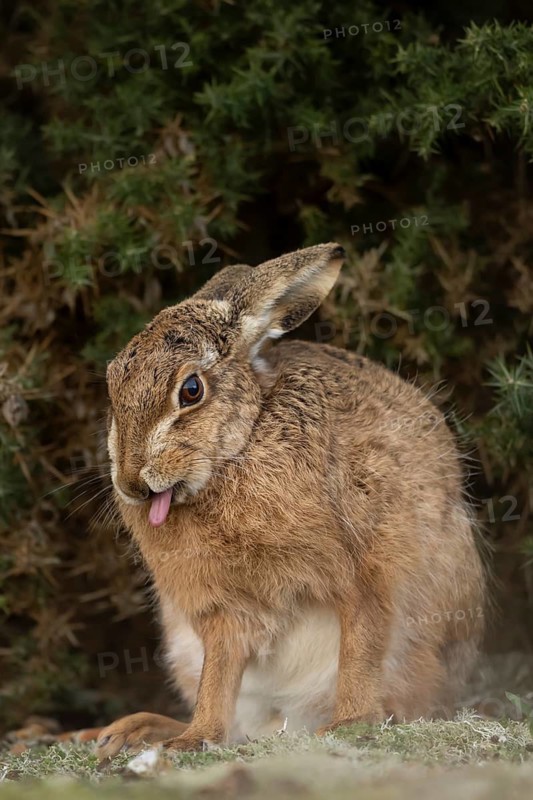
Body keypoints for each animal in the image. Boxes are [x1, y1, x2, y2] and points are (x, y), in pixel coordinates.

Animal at [97, 242, 486, 759]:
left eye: (191, 390)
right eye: (112, 386)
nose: (132, 482)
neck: (240, 449)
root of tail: (287, 721)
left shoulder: (364, 572)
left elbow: (361, 646)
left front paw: (350, 723)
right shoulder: (223, 610)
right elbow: (218, 676)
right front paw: (192, 739)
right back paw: (133, 730)